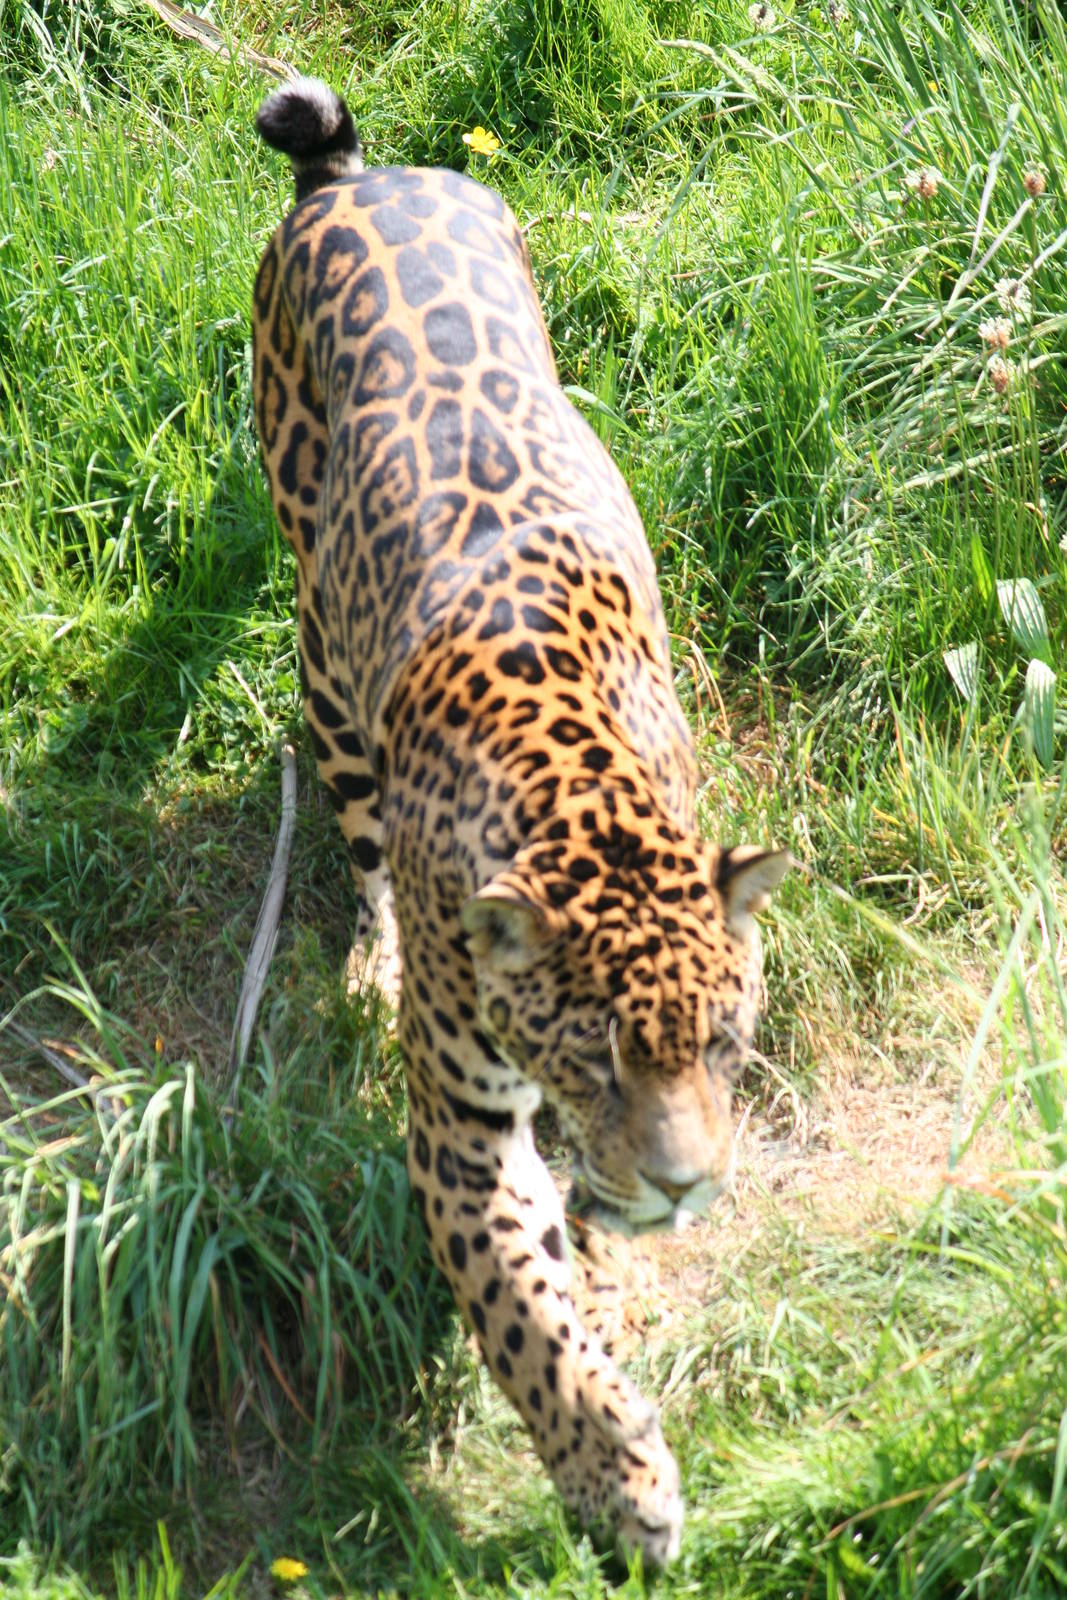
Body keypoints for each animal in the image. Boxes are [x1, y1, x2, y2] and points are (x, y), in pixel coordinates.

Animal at [252, 76, 789, 1566]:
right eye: (594, 1055)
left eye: (720, 1041)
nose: (684, 1188)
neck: (582, 797)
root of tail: (353, 182)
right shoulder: (456, 1126)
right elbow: (513, 1301)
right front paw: (617, 1478)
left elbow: (558, 1262)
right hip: (323, 666)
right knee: (358, 845)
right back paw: (367, 961)